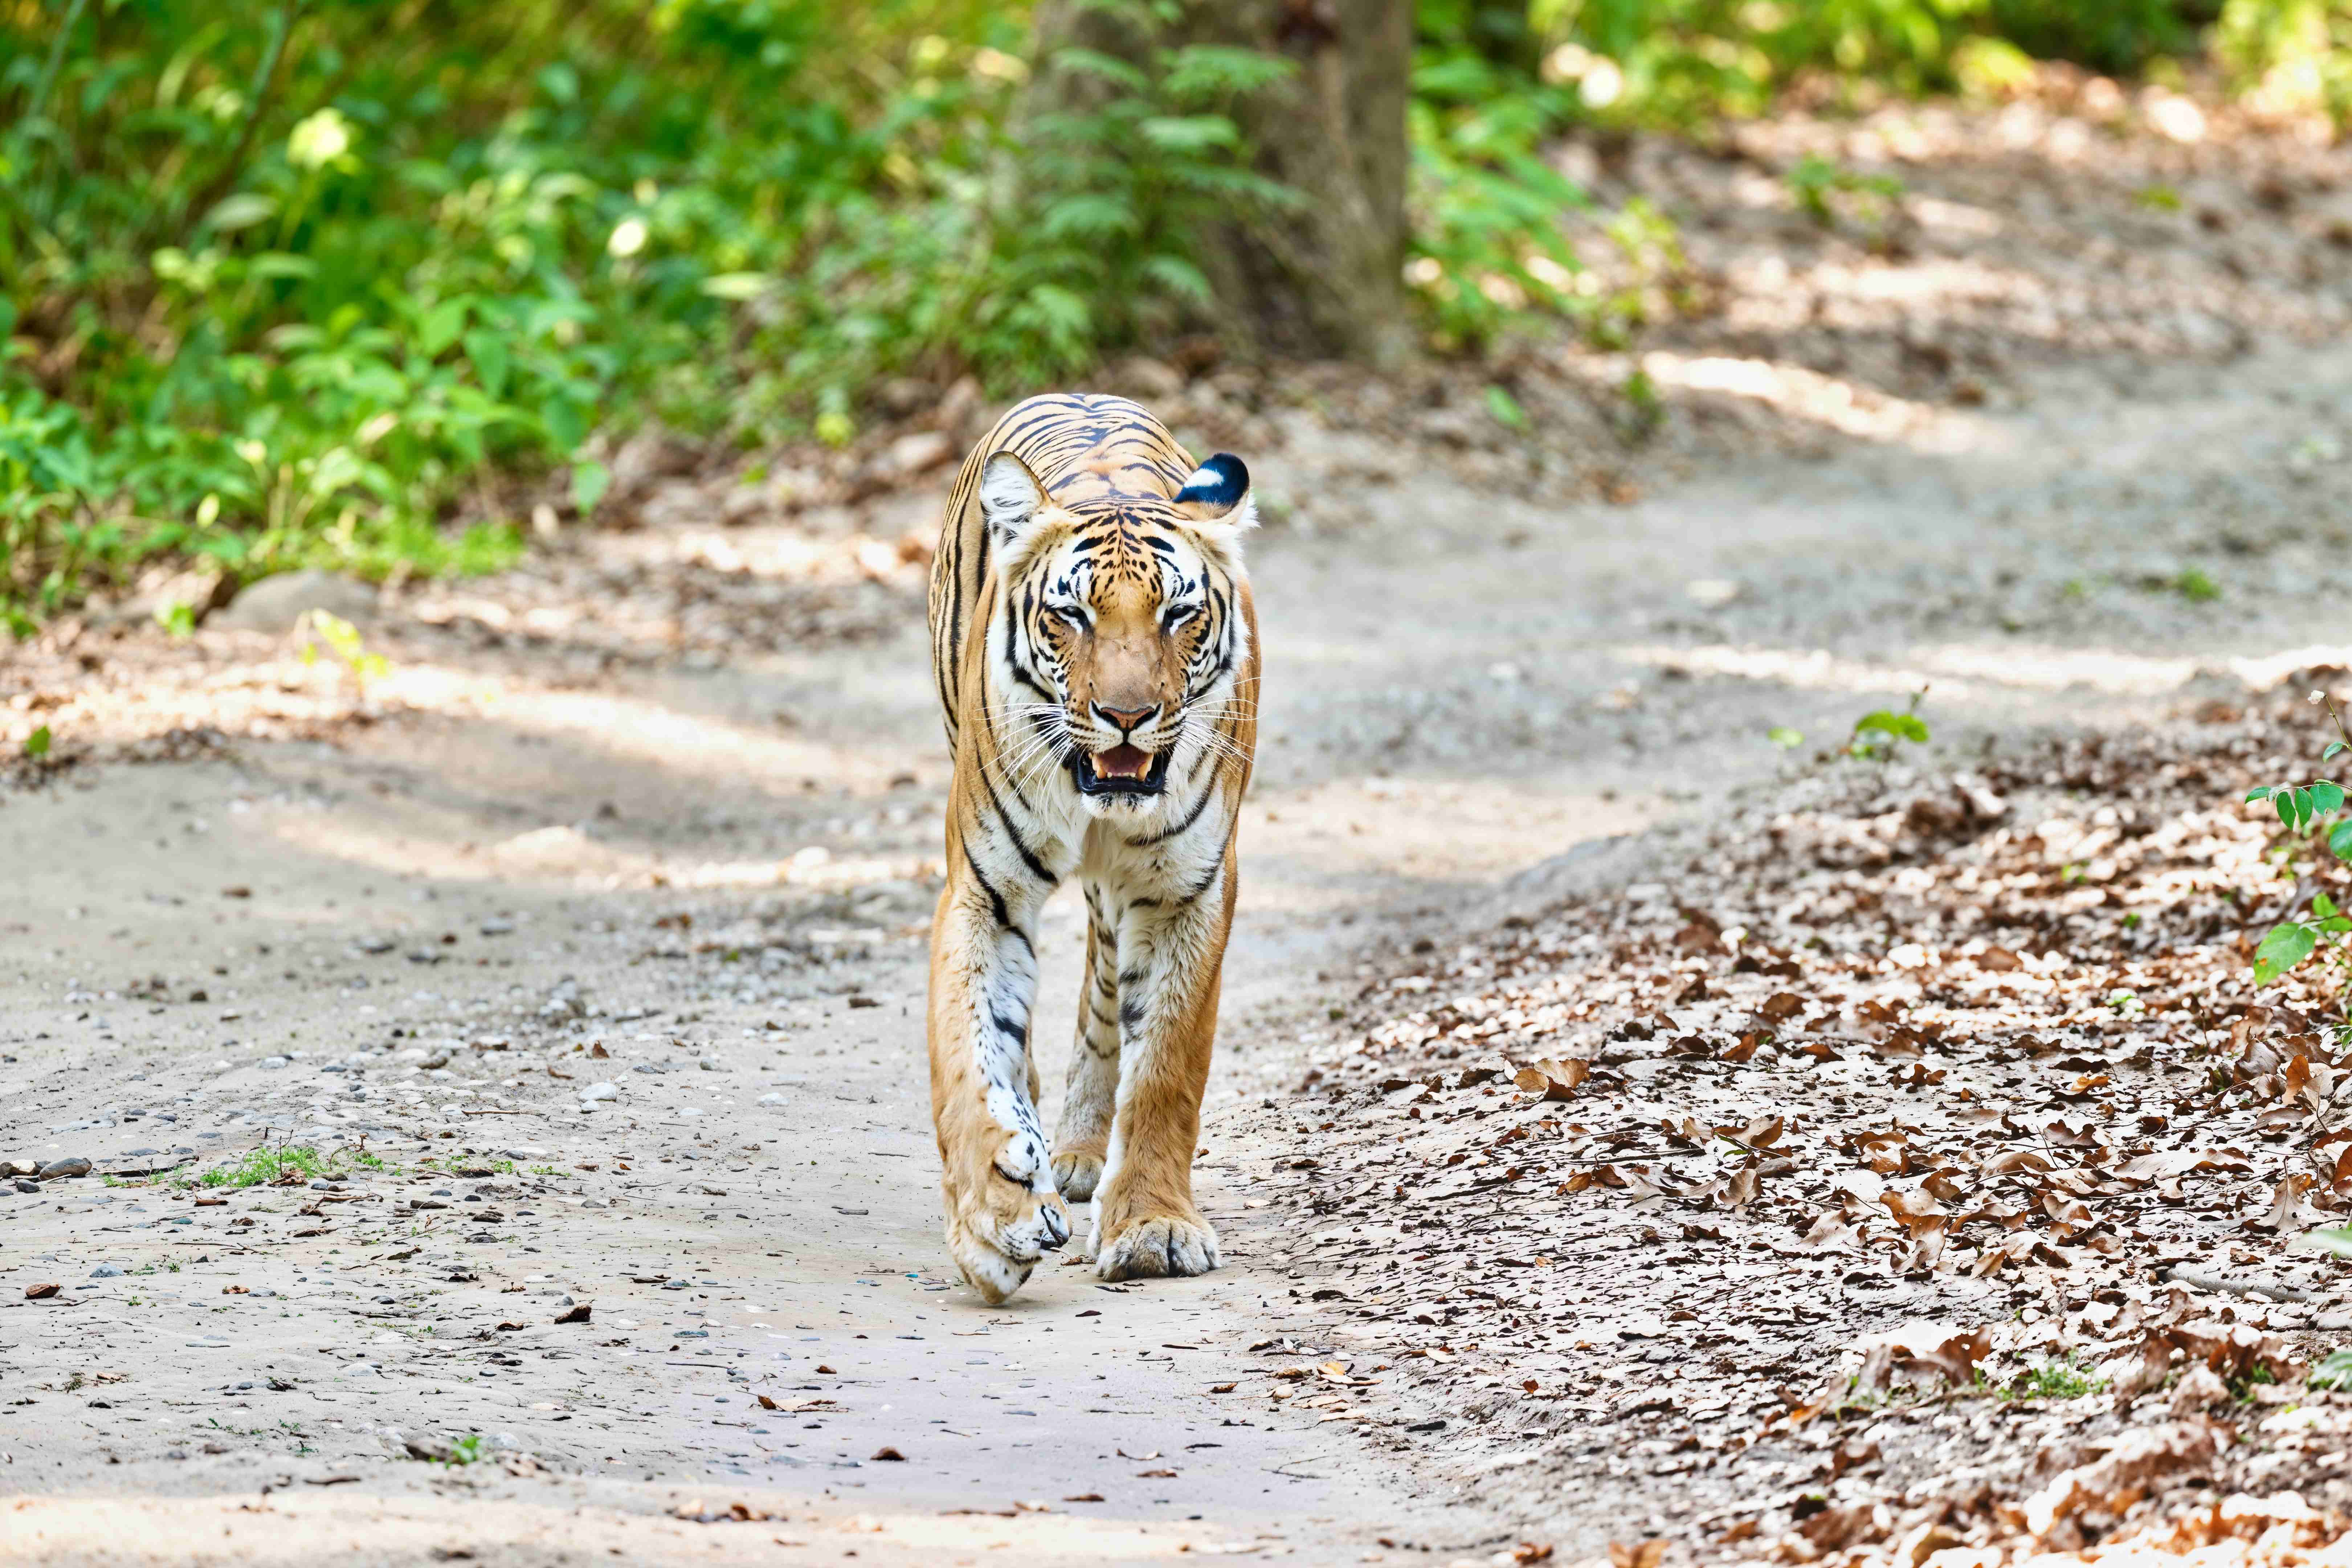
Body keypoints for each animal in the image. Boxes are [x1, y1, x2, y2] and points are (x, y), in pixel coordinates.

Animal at [912, 390, 1261, 1298]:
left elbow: (1167, 1064)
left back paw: (1075, 1152)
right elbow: (968, 1052)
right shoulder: (985, 890)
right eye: (1071, 615)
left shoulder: (1186, 892)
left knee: (1105, 999)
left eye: (1179, 613)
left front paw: (1152, 1228)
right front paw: (994, 1216)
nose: (1127, 716)